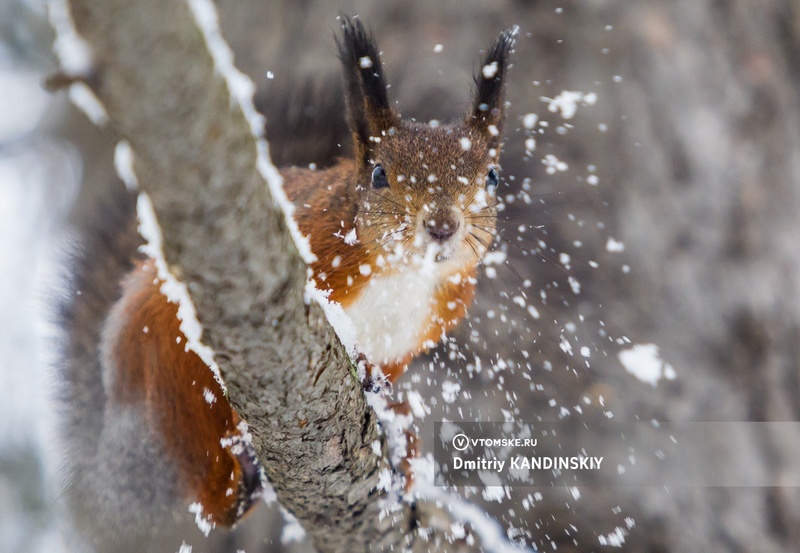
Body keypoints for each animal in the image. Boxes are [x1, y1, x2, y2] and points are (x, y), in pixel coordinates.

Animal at [59, 15, 516, 540]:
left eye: (492, 177)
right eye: (380, 174)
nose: (442, 226)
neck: (403, 273)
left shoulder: (415, 333)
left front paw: (394, 417)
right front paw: (361, 365)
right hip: (164, 371)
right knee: (208, 491)